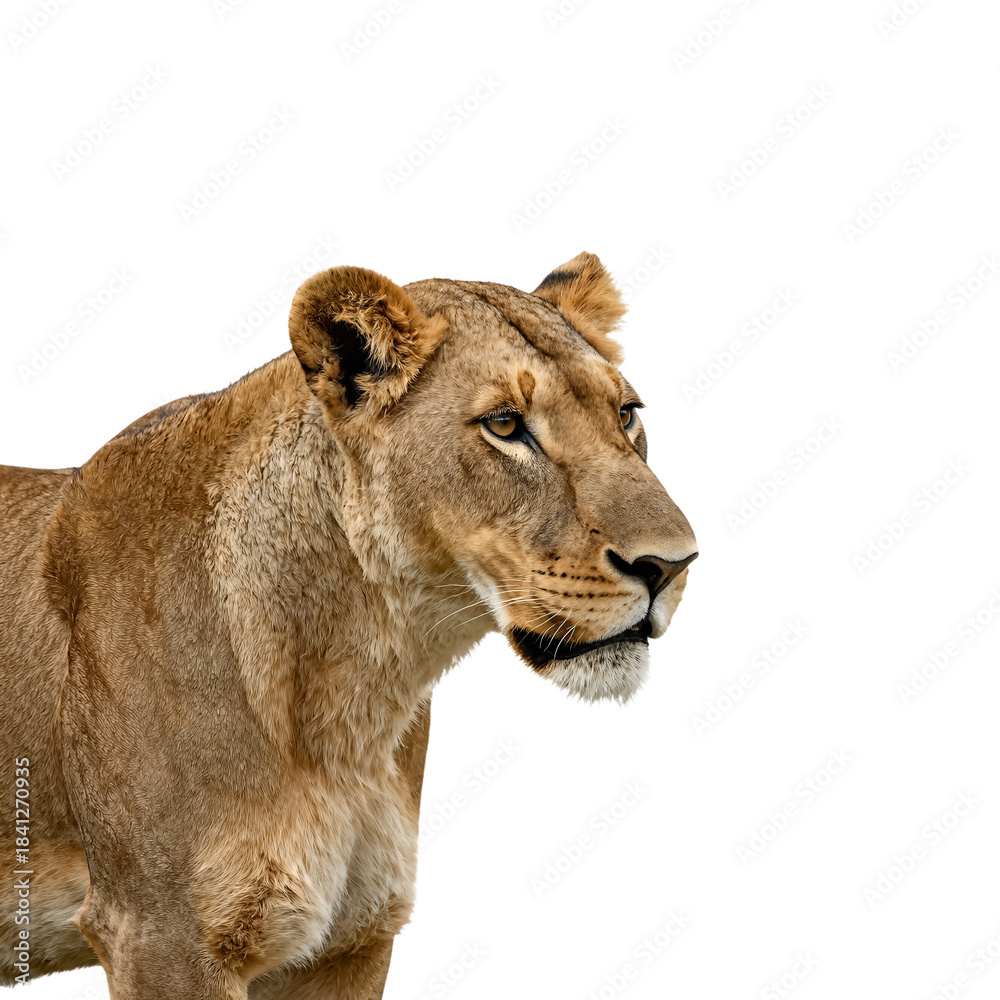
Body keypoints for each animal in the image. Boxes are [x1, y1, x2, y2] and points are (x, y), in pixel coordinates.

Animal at [0, 252, 697, 998]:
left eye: (626, 415)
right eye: (506, 425)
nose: (671, 564)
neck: (351, 694)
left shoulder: (348, 940)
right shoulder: (160, 934)